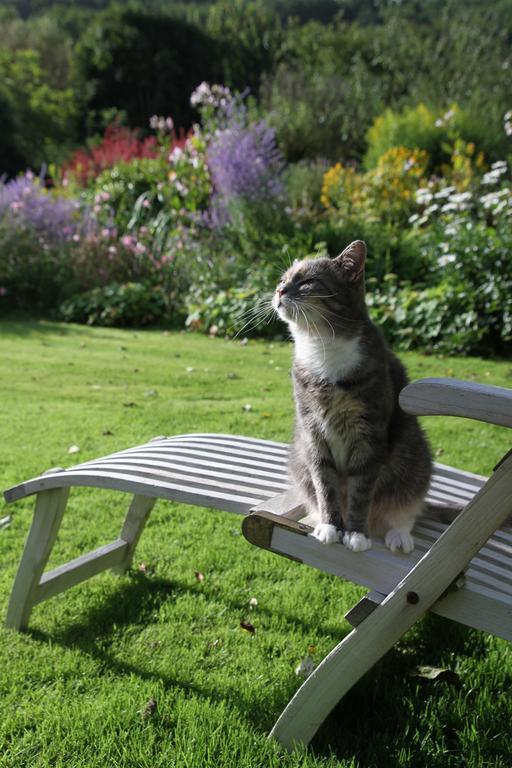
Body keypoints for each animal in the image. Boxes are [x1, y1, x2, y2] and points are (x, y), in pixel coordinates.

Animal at [272, 240, 432, 552]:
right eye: (283, 280)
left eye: (308, 281)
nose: (279, 291)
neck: (323, 346)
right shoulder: (312, 432)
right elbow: (324, 484)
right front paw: (330, 526)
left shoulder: (368, 434)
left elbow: (361, 490)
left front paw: (356, 533)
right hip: (299, 458)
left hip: (415, 457)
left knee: (405, 506)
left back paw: (398, 534)